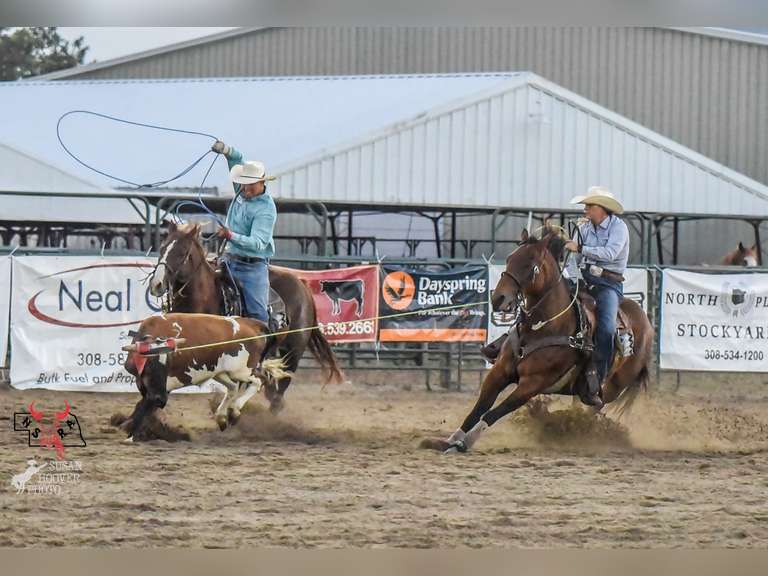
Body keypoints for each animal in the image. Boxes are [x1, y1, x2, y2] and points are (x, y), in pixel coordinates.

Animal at [121, 313, 290, 439]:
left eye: (168, 364)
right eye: (150, 366)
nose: (161, 400)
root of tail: (250, 323)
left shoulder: (164, 387)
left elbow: (144, 407)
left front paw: (130, 433)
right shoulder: (146, 386)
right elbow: (143, 405)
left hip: (242, 370)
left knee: (259, 381)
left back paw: (235, 411)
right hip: (220, 372)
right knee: (233, 388)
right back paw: (222, 417)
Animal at [147, 221, 343, 414]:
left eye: (182, 252)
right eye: (162, 248)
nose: (156, 284)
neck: (206, 298)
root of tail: (302, 285)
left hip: (293, 349)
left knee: (282, 384)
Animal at [441, 228, 654, 453]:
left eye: (529, 264)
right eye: (509, 259)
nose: (498, 298)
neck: (545, 326)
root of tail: (645, 321)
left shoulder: (532, 384)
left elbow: (493, 413)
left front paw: (464, 443)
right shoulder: (498, 373)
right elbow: (477, 409)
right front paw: (451, 440)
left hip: (614, 386)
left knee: (594, 408)